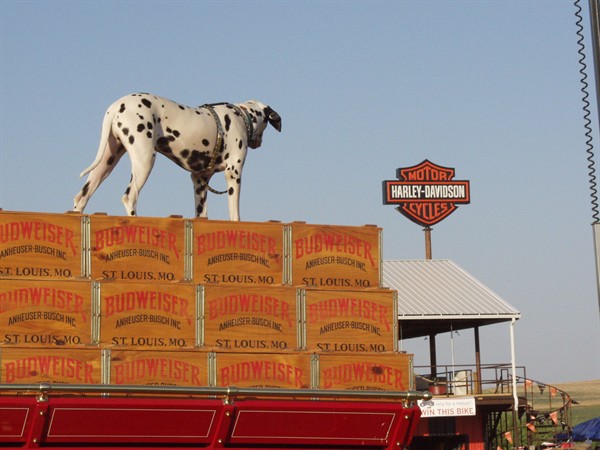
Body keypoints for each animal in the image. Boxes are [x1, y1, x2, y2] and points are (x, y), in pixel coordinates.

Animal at [72, 93, 282, 220]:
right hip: (144, 160)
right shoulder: (233, 174)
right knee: (129, 196)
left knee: (81, 196)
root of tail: (116, 107)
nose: (259, 143)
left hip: (107, 161)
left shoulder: (199, 180)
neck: (241, 115)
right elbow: (235, 214)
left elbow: (201, 215)